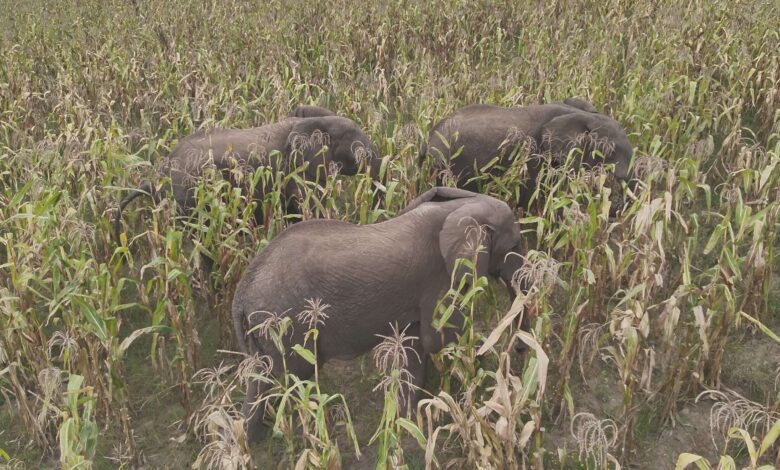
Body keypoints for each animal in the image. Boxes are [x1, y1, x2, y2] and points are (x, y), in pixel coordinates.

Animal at [232, 187, 525, 442]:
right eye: (515, 244)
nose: (519, 353)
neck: (461, 208)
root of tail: (241, 293)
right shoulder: (440, 277)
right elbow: (441, 338)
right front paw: (485, 370)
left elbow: (416, 344)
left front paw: (409, 421)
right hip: (286, 325)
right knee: (288, 378)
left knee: (262, 379)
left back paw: (251, 443)